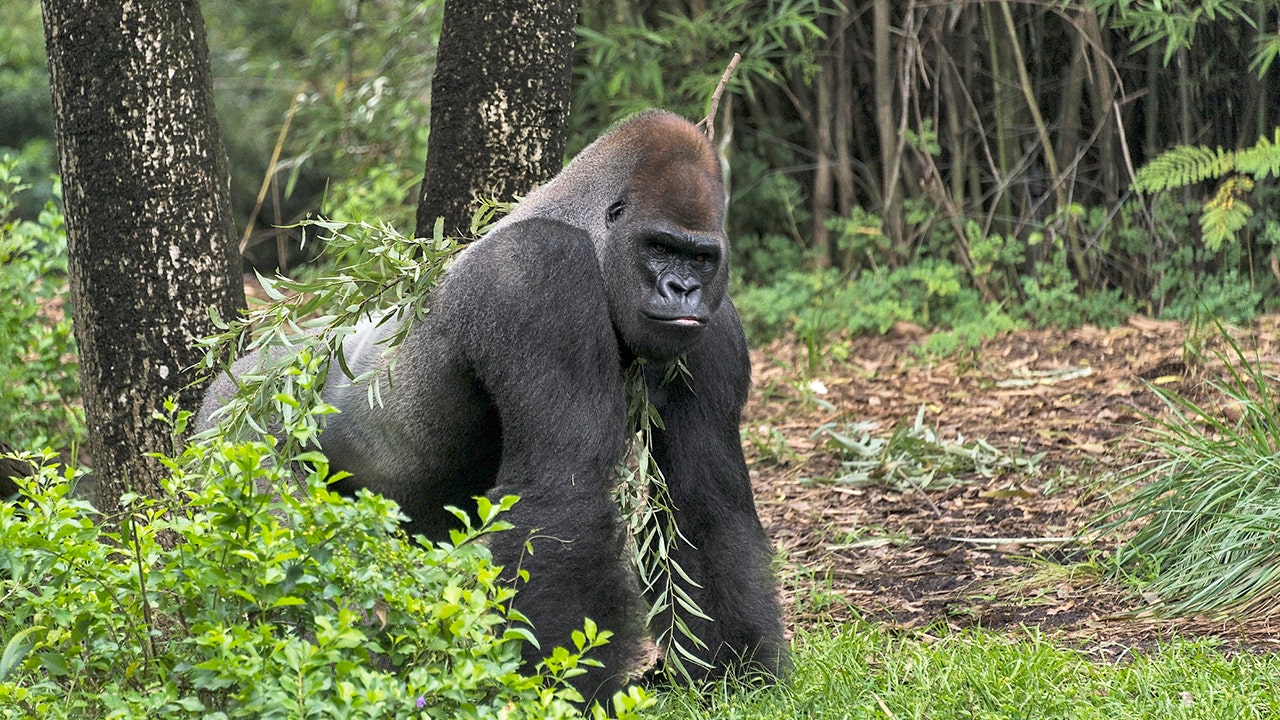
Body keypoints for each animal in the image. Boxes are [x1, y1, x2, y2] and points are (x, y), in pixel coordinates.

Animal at [195, 110, 783, 702]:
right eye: (660, 247)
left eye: (700, 257)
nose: (682, 288)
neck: (588, 233)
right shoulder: (541, 273)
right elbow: (562, 492)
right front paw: (563, 687)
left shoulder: (716, 326)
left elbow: (704, 503)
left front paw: (735, 671)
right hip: (232, 435)